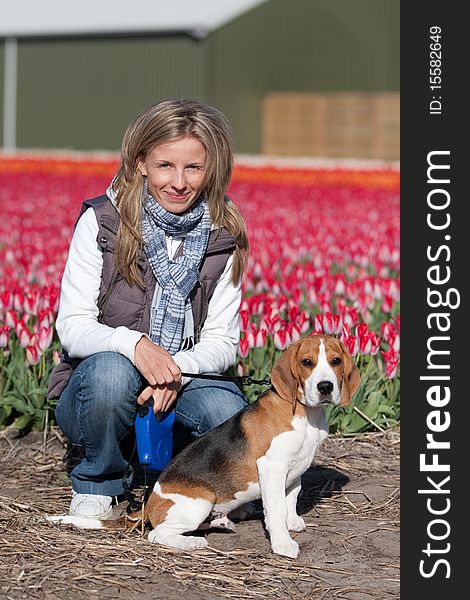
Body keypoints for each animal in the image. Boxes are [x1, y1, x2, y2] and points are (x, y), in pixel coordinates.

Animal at [48, 336, 360, 560]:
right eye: (307, 362)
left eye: (335, 361)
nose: (325, 387)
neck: (305, 414)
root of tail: (149, 503)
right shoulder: (272, 467)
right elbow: (276, 509)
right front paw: (283, 542)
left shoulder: (295, 468)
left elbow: (291, 497)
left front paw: (293, 521)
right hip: (199, 502)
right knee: (157, 534)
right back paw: (193, 543)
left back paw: (224, 522)